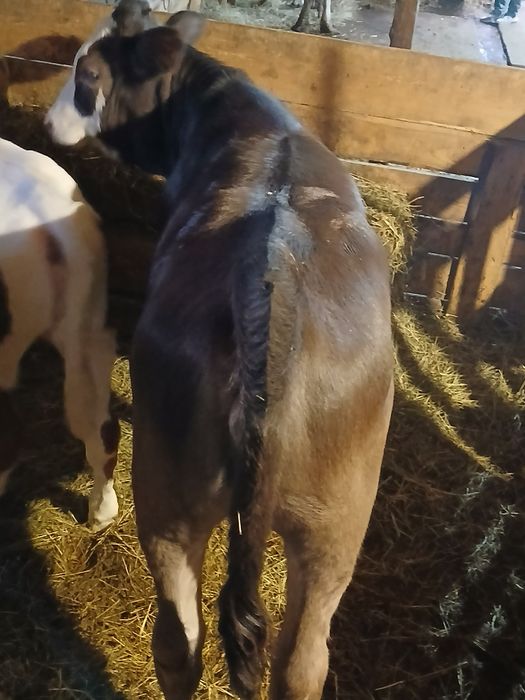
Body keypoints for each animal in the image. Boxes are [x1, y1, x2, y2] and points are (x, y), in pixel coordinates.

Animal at [46, 10, 394, 699]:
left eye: (88, 74)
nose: (47, 122)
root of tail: (270, 269)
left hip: (172, 498)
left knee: (180, 640)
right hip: (332, 523)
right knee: (293, 659)